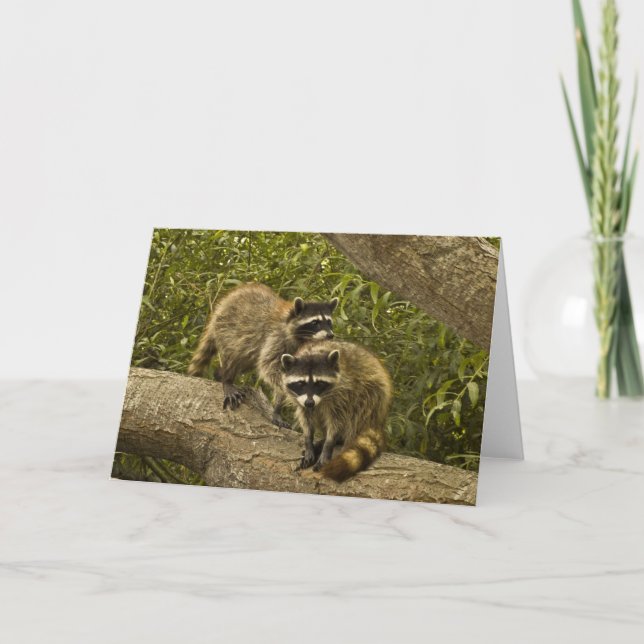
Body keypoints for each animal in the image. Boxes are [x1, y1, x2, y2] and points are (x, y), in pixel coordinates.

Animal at [187, 283, 338, 425]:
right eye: (315, 322)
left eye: (329, 322)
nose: (330, 335)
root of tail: (220, 307)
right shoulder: (276, 337)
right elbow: (269, 367)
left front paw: (277, 408)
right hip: (227, 328)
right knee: (233, 355)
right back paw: (227, 379)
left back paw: (219, 374)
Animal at [280, 340, 393, 482]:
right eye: (301, 383)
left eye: (319, 383)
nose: (310, 402)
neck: (312, 352)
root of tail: (380, 419)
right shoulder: (301, 401)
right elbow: (306, 418)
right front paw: (309, 441)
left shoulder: (342, 394)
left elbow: (336, 422)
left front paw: (328, 444)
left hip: (373, 394)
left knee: (358, 412)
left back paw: (342, 439)